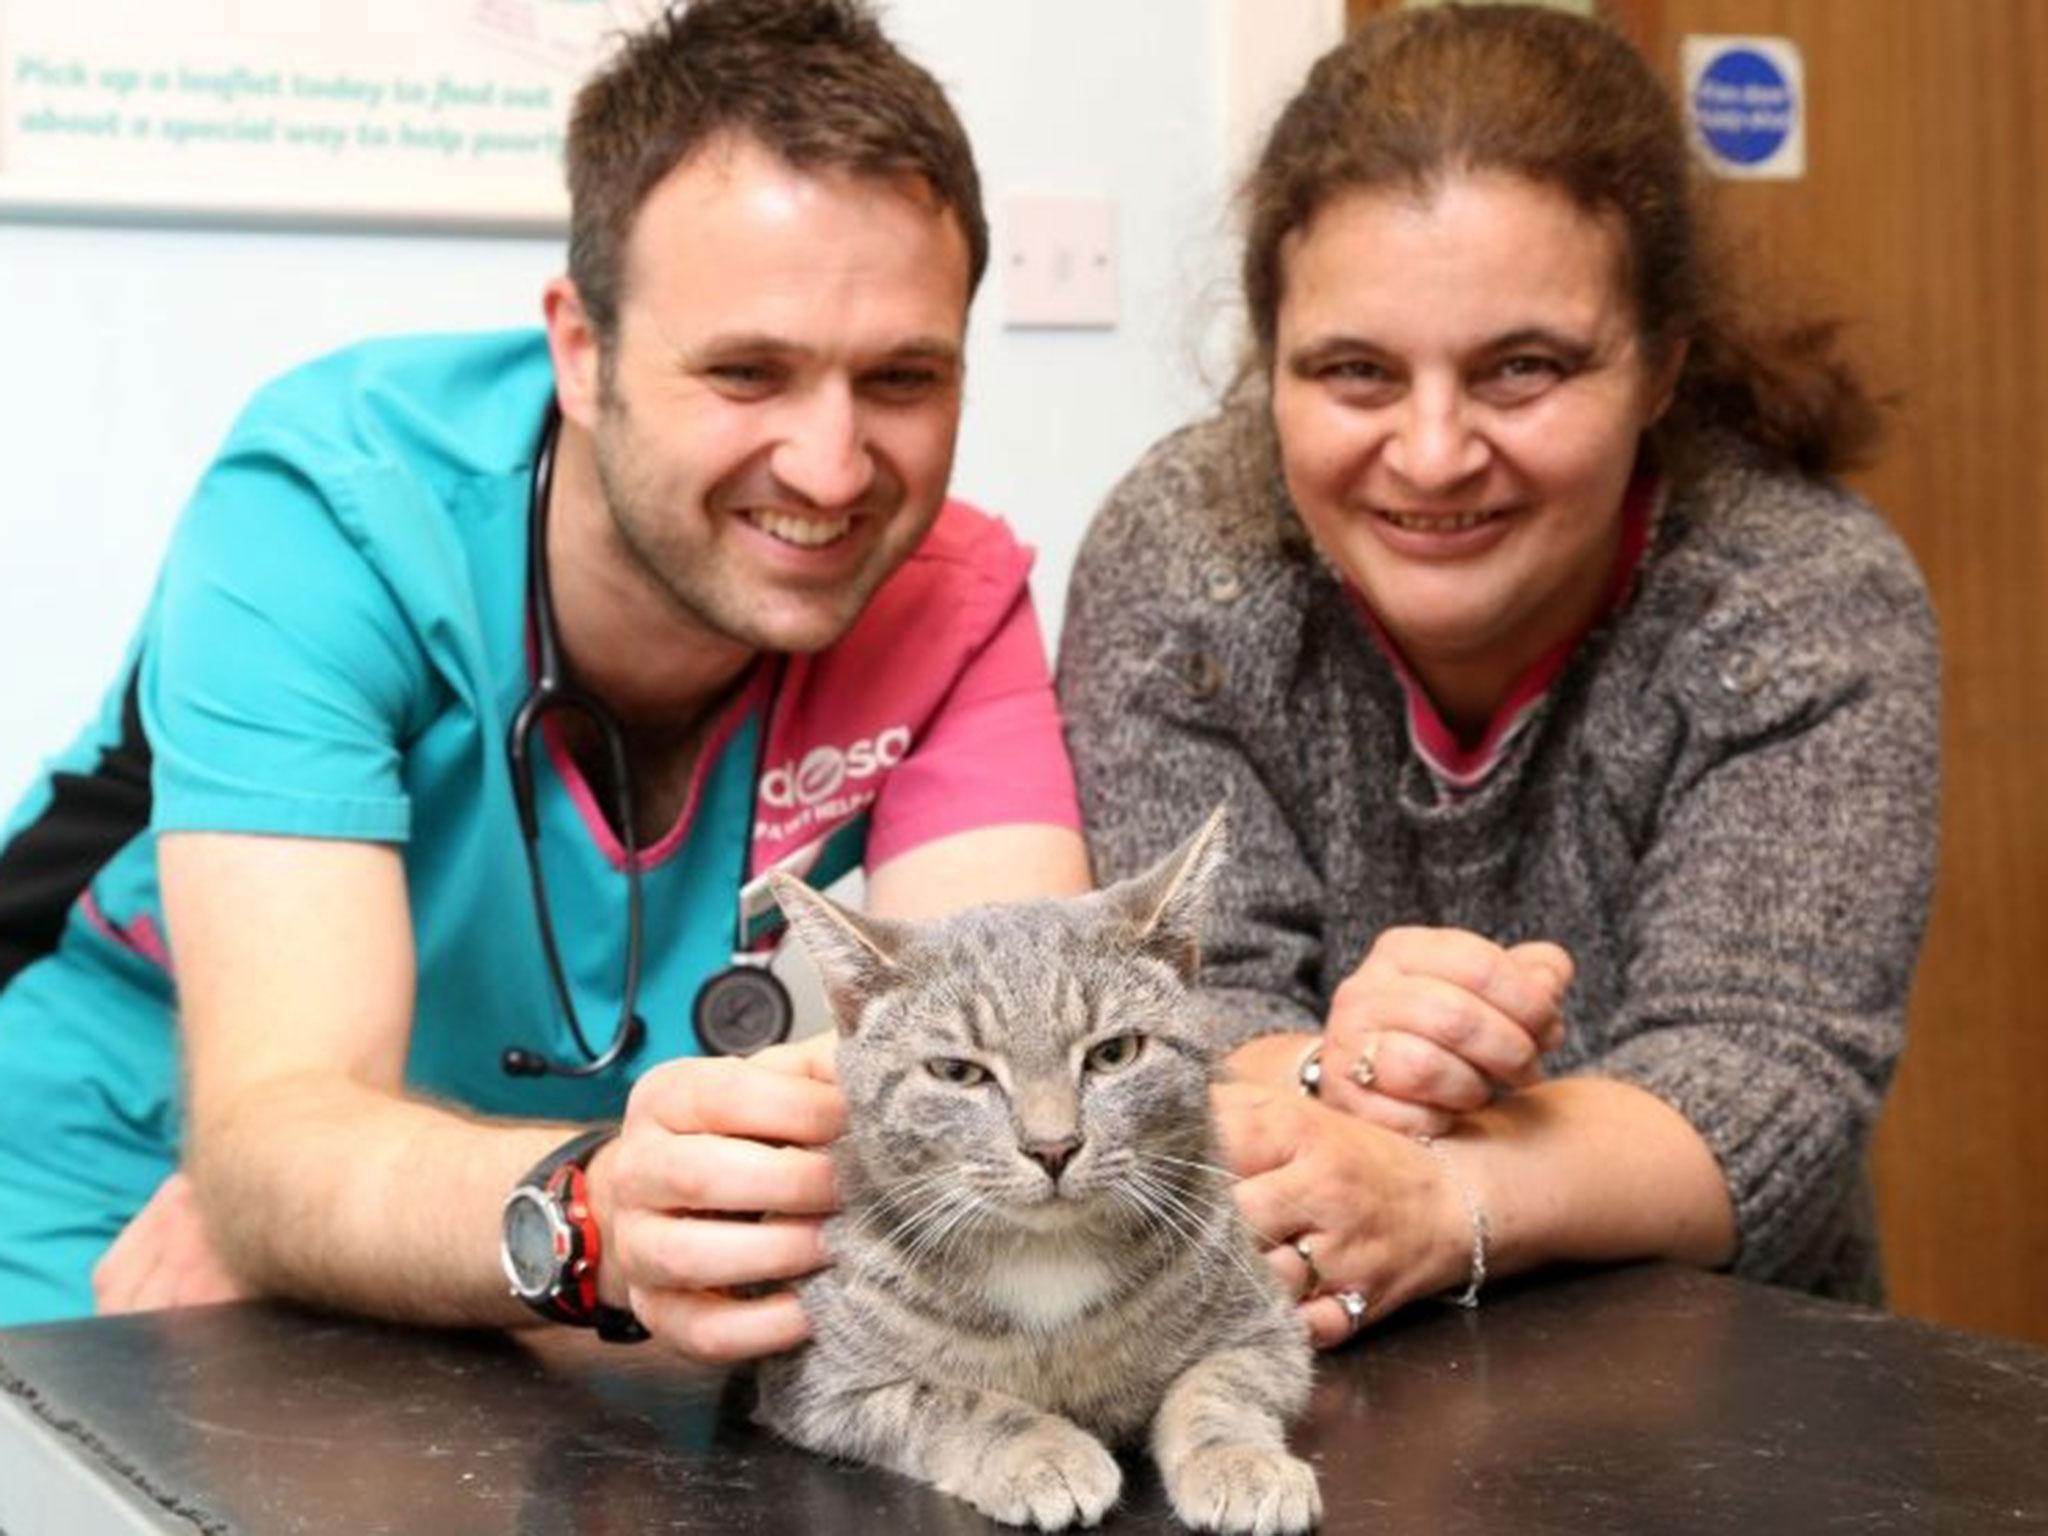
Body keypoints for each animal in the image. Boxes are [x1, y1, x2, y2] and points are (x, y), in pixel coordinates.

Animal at [761, 811, 1318, 1531]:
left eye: (1115, 1053)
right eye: (957, 1072)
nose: (1054, 1147)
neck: (1047, 1257)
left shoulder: (1268, 1332)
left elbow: (1218, 1385)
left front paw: (1240, 1461)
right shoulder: (826, 1386)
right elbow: (951, 1401)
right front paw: (1042, 1450)